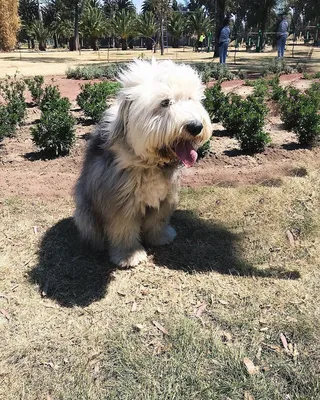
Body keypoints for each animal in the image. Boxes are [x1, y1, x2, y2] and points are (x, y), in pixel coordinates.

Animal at [74, 58, 211, 266]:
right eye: (165, 102)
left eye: (190, 98)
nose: (196, 126)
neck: (149, 162)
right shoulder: (120, 199)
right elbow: (123, 228)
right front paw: (129, 255)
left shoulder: (166, 195)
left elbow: (158, 220)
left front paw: (160, 237)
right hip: (86, 213)